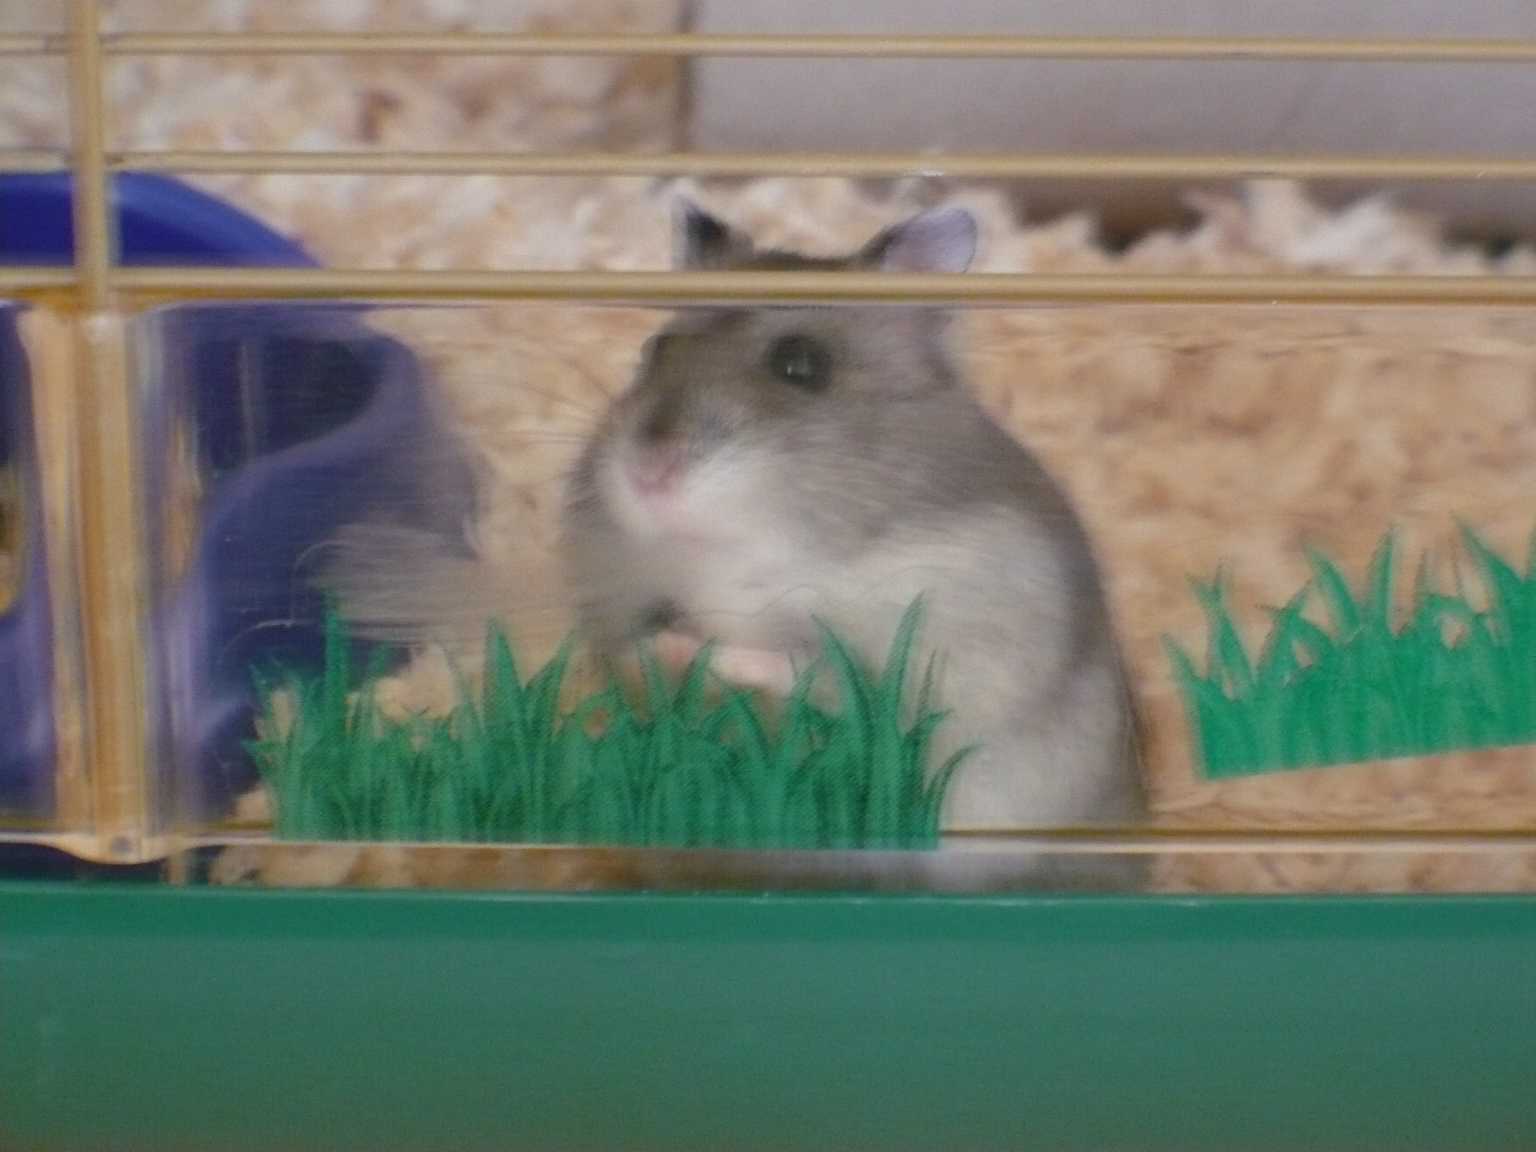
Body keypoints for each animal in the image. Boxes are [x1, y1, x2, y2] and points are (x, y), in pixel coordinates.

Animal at [561, 200, 1148, 888]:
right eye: (655, 350)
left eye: (799, 364)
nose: (647, 473)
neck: (737, 552)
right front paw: (658, 649)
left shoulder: (922, 657)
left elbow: (815, 673)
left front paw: (696, 653)